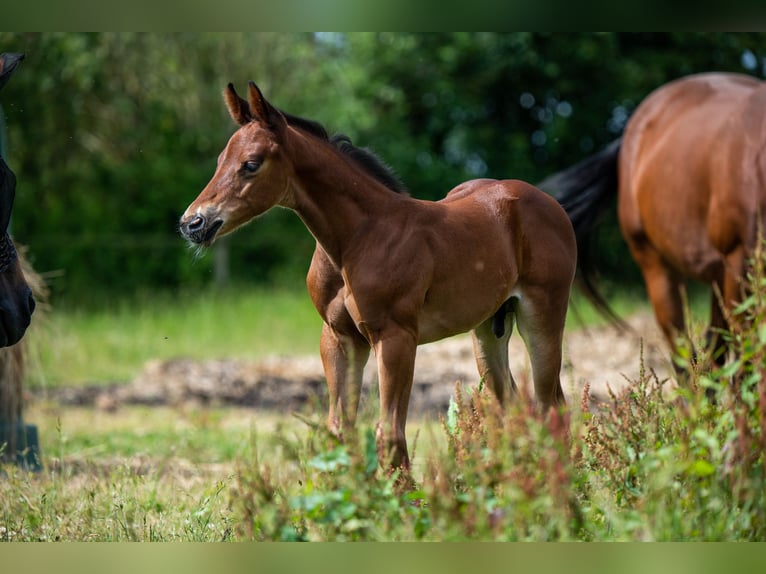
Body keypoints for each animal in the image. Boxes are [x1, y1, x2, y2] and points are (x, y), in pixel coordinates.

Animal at [180, 81, 576, 470]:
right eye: (220, 160)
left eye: (251, 164)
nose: (193, 222)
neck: (356, 239)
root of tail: (547, 201)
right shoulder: (339, 338)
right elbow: (340, 429)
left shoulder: (395, 336)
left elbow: (390, 434)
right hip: (487, 330)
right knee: (516, 406)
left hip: (542, 315)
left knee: (550, 405)